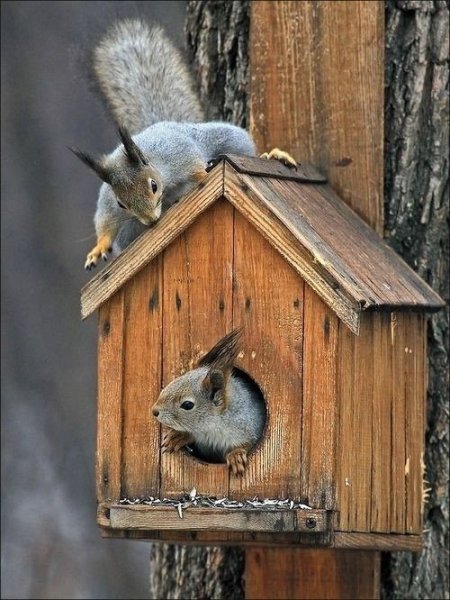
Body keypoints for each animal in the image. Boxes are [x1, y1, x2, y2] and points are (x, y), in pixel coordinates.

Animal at [151, 330, 266, 476]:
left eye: (187, 405)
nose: (154, 411)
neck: (212, 427)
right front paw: (178, 436)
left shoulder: (249, 426)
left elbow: (247, 443)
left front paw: (236, 455)